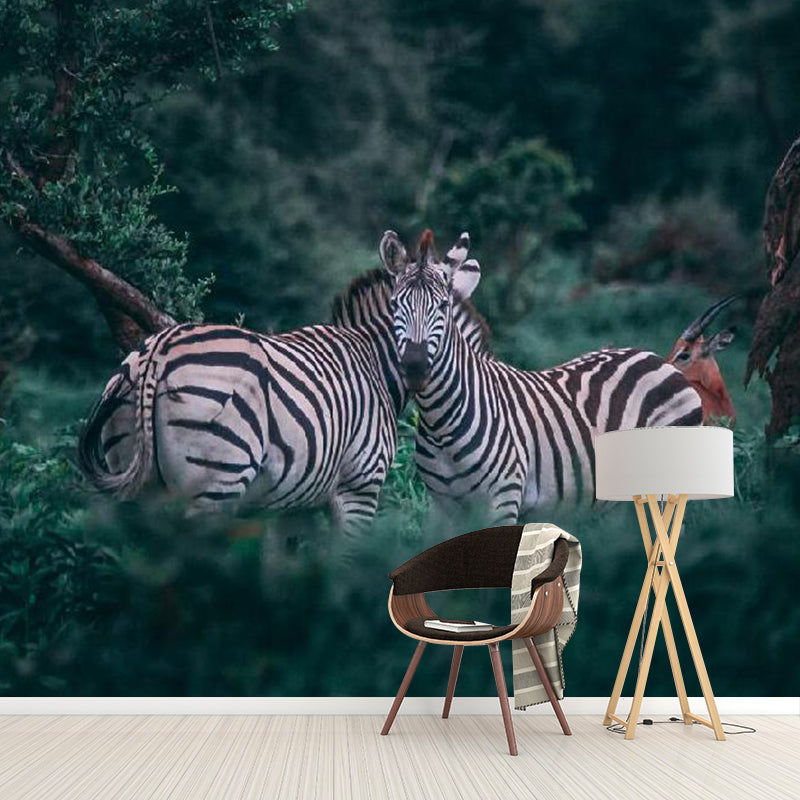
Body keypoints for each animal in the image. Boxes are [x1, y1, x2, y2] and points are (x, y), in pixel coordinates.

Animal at [79, 267, 490, 532]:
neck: (374, 360)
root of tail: (158, 350)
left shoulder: (297, 501)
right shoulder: (360, 486)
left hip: (134, 476)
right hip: (215, 482)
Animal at [379, 228, 703, 524]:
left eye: (443, 306)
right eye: (394, 304)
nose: (415, 367)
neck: (441, 424)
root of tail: (656, 358)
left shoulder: (503, 500)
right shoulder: (443, 508)